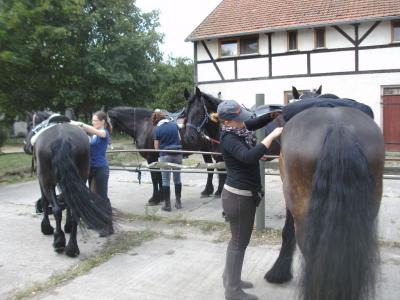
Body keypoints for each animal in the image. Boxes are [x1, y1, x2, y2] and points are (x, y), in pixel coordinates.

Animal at [23, 118, 111, 256]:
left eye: (29, 125)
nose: (25, 146)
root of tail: (62, 139)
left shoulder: (41, 180)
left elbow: (44, 201)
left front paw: (46, 227)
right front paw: (68, 226)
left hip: (47, 182)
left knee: (56, 209)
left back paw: (59, 242)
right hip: (80, 177)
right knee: (75, 211)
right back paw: (72, 247)